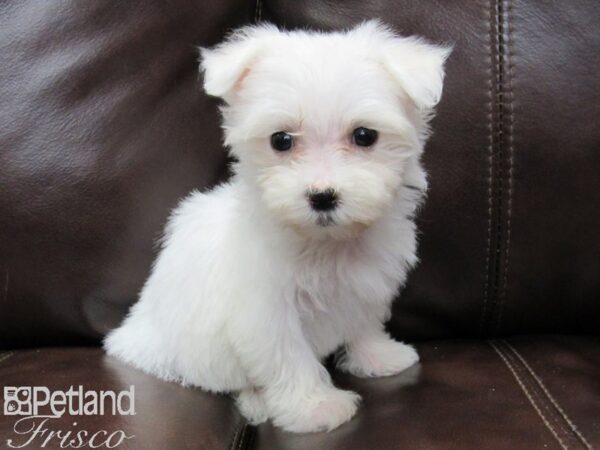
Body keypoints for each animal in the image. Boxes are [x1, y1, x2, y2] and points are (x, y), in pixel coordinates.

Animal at [105, 20, 448, 432]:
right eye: (281, 140)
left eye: (365, 136)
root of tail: (134, 336)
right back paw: (257, 401)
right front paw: (316, 407)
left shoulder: (366, 285)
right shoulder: (266, 311)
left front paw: (378, 356)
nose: (322, 196)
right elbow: (288, 357)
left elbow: (364, 322)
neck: (324, 242)